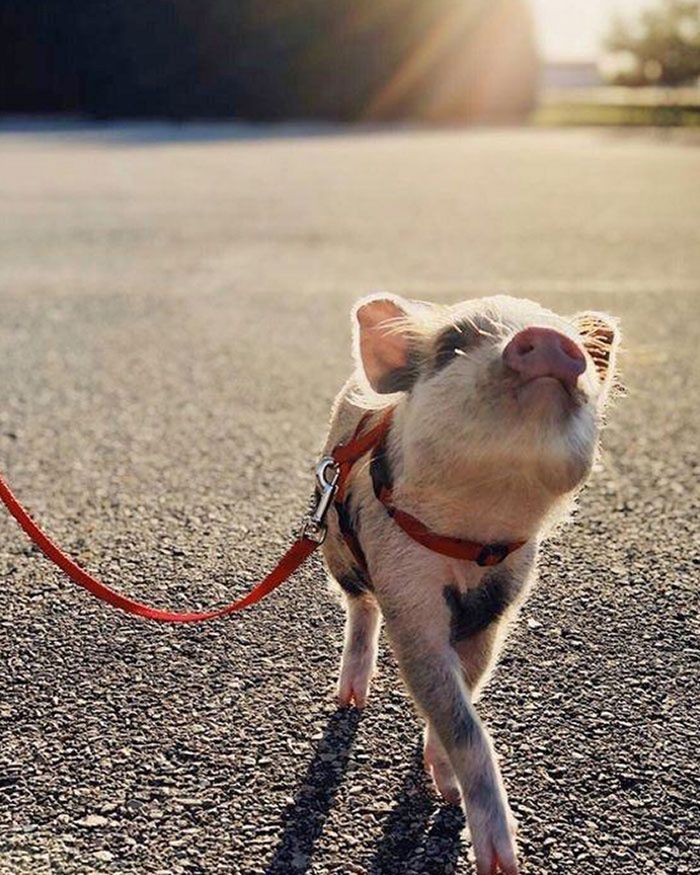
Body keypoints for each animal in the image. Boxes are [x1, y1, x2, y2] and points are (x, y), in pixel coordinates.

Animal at [318, 294, 616, 875]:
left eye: (581, 352)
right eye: (453, 342)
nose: (550, 339)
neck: (474, 537)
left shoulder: (499, 601)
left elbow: (466, 689)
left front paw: (446, 791)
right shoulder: (405, 585)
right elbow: (453, 708)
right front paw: (501, 861)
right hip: (336, 546)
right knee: (360, 606)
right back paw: (349, 701)